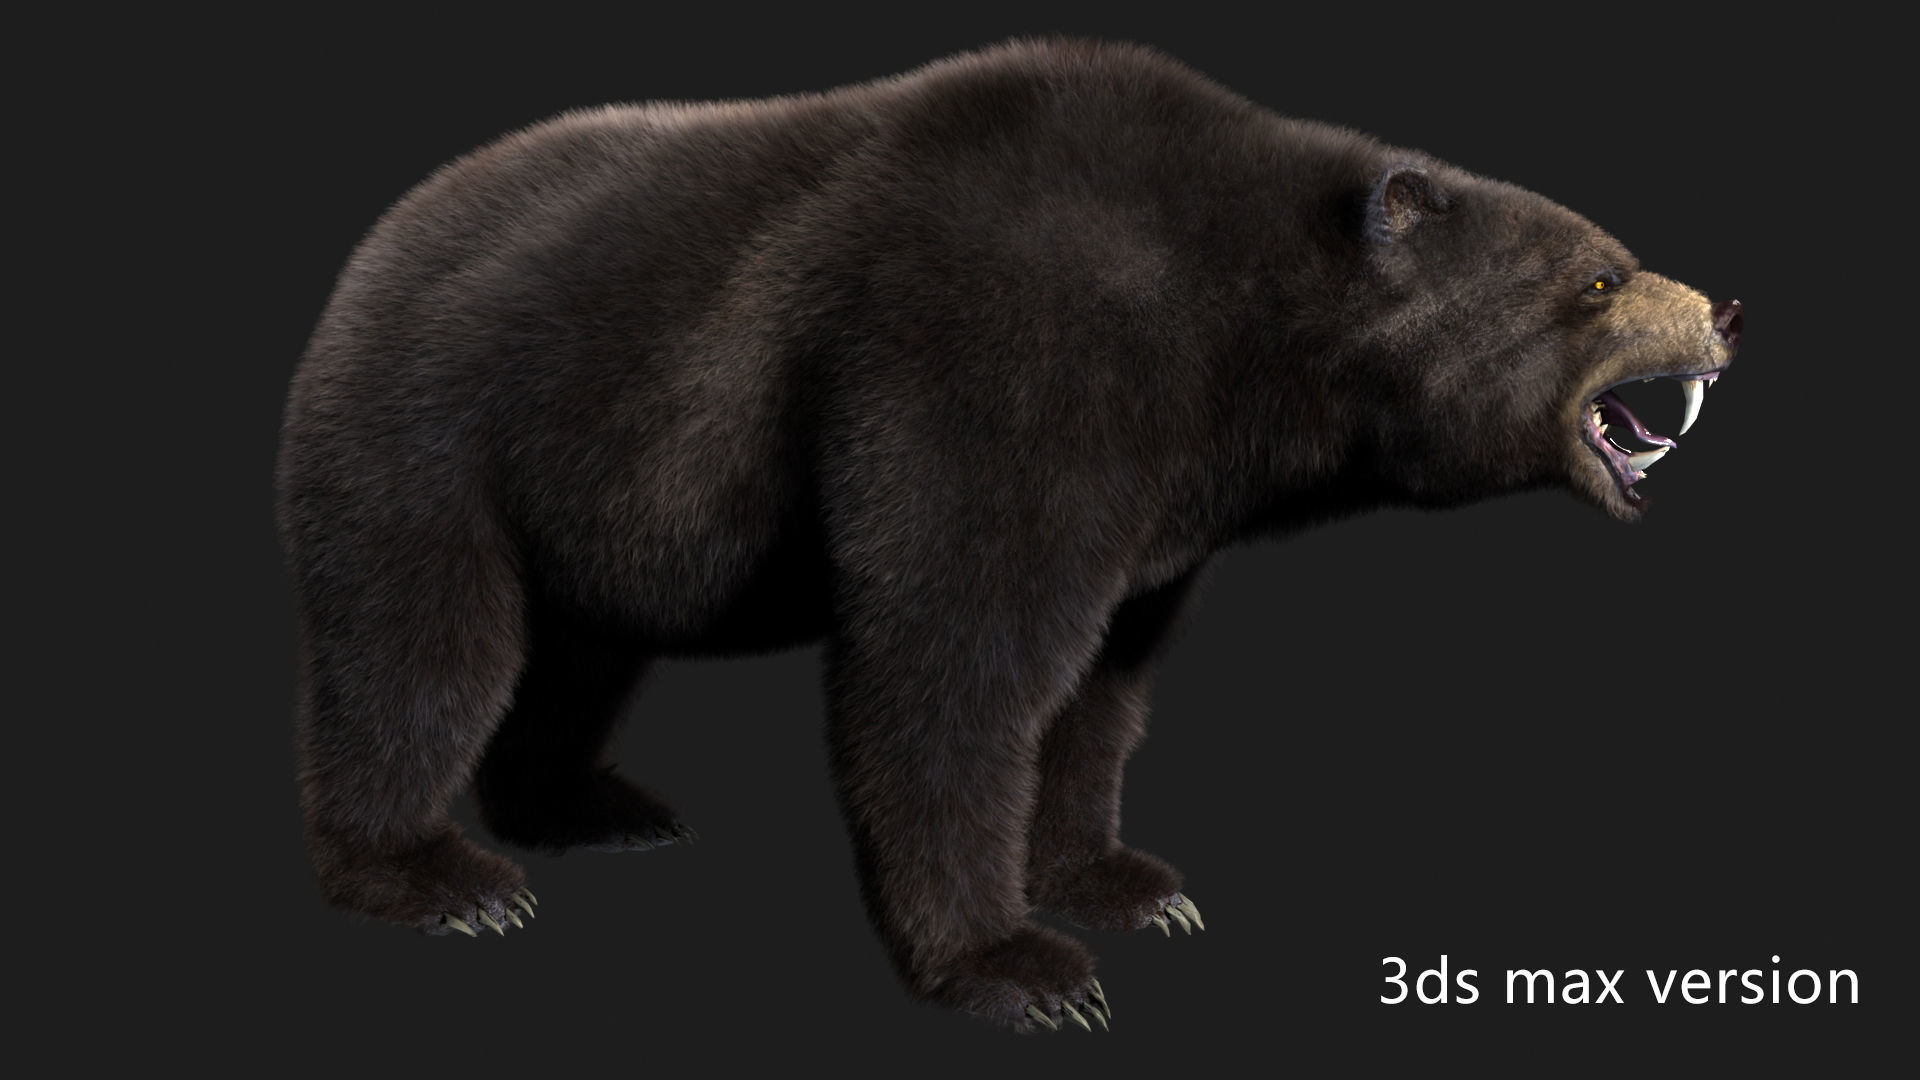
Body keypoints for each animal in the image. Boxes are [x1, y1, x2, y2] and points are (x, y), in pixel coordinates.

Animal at [276, 37, 1741, 1033]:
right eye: (1599, 275)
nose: (1723, 312)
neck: (1233, 337)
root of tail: (370, 248)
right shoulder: (994, 359)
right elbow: (954, 663)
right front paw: (1019, 966)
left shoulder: (1159, 495)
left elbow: (1099, 685)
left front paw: (1123, 879)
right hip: (436, 426)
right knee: (425, 644)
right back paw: (439, 876)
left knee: (578, 649)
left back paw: (589, 805)